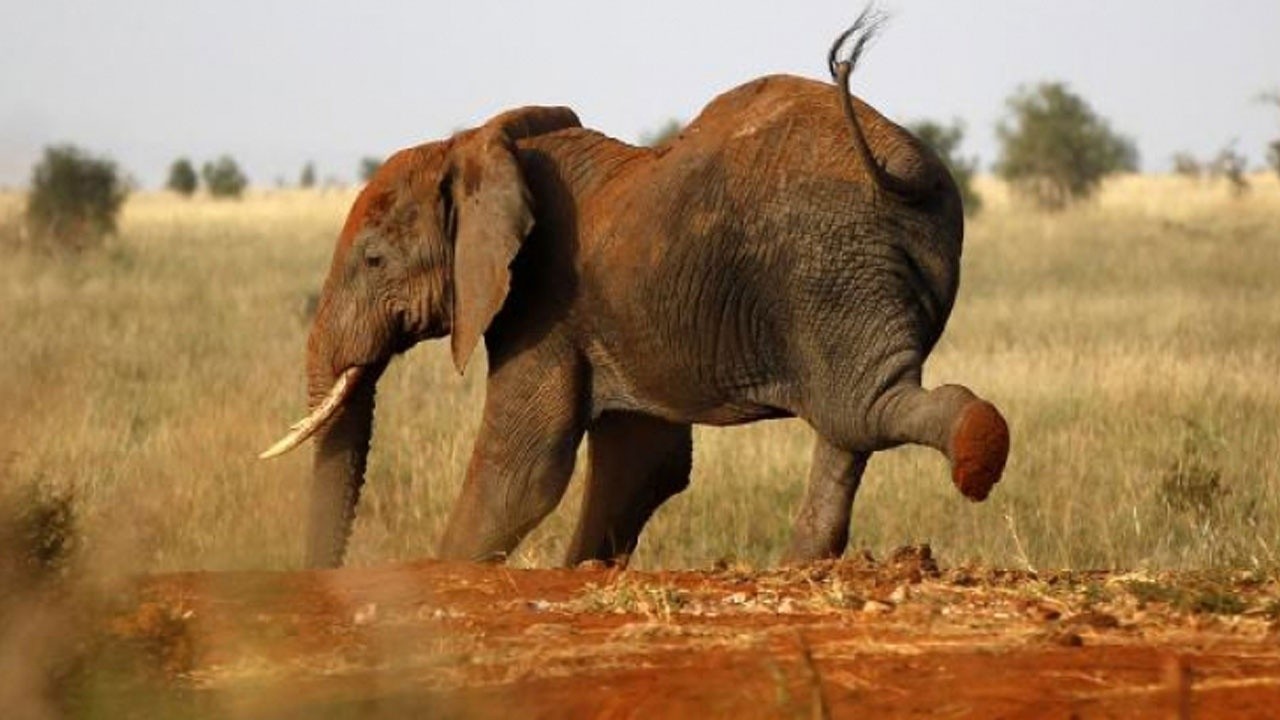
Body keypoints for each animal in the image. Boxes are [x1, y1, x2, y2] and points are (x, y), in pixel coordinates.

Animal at [259, 12, 1008, 566]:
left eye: (374, 260)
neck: (474, 146)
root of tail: (900, 162)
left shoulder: (543, 299)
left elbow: (522, 469)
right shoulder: (608, 314)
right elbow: (644, 461)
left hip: (829, 267)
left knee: (859, 409)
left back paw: (977, 452)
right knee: (848, 421)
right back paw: (804, 566)